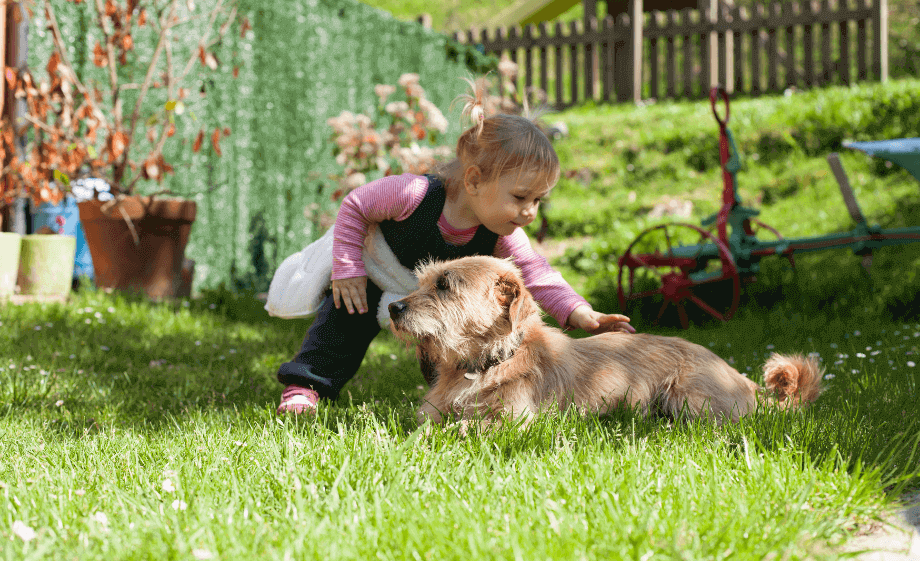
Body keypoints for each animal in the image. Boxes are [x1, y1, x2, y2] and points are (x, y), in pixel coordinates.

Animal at [384, 256, 824, 426]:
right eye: (424, 280)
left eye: (445, 285)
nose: (392, 308)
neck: (485, 363)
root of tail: (742, 380)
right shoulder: (432, 413)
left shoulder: (512, 421)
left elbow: (463, 429)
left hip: (691, 398)